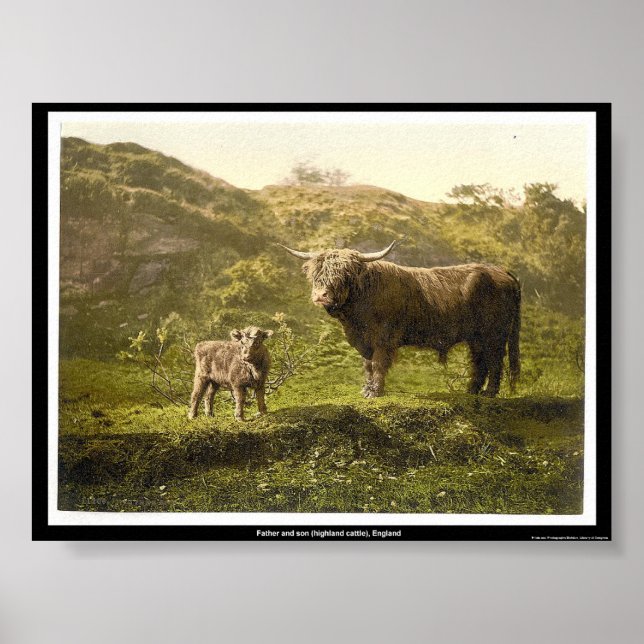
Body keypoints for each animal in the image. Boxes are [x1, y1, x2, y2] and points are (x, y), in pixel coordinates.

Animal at [280, 241, 520, 398]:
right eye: (316, 274)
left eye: (344, 275)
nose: (320, 295)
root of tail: (502, 272)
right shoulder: (363, 340)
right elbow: (367, 365)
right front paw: (366, 389)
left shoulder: (383, 338)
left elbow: (378, 363)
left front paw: (375, 392)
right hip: (476, 337)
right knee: (479, 360)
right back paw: (471, 391)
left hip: (495, 334)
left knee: (494, 360)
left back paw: (489, 393)